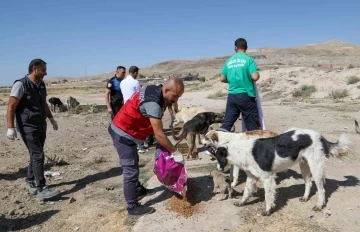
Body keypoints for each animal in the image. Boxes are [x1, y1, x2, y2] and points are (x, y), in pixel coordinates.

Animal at [204, 128, 350, 217]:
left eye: (217, 157)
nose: (218, 169)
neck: (241, 149)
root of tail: (320, 137)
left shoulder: (267, 178)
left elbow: (268, 196)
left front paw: (268, 210)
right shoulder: (251, 177)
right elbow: (246, 192)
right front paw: (241, 202)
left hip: (316, 167)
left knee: (321, 189)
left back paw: (319, 205)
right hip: (304, 165)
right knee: (308, 183)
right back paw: (305, 197)